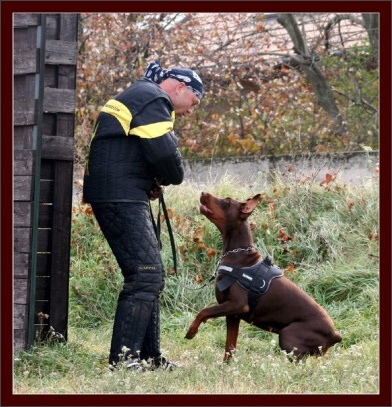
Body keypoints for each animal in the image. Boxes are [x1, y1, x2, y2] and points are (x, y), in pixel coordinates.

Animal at [185, 193, 342, 362]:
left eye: (227, 201)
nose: (203, 193)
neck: (237, 255)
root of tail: (335, 335)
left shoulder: (238, 304)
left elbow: (204, 311)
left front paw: (191, 331)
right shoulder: (233, 315)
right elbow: (229, 347)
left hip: (287, 336)